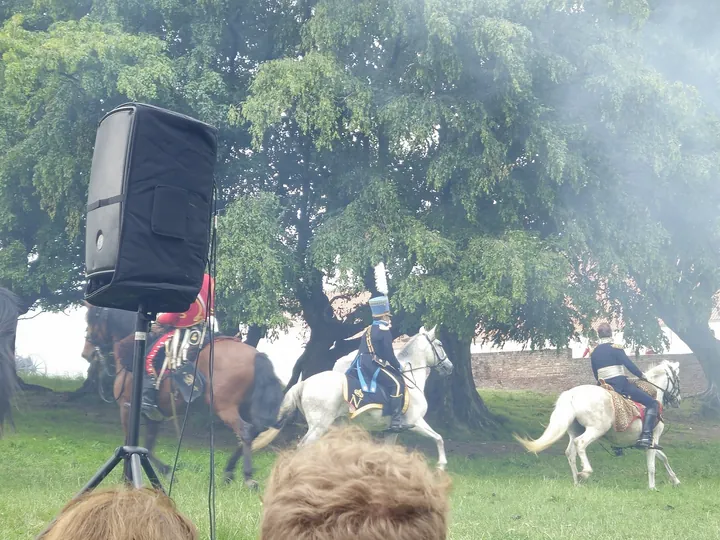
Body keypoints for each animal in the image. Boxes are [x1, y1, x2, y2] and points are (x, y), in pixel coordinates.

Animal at [81, 304, 284, 490]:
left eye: (91, 318)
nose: (86, 353)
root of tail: (256, 354)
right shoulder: (154, 416)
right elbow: (147, 446)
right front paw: (162, 472)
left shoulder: (126, 408)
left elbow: (129, 444)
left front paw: (133, 477)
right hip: (244, 406)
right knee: (254, 432)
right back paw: (229, 472)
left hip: (224, 406)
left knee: (245, 431)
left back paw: (247, 476)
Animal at [253, 326, 452, 470]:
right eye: (440, 344)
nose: (449, 367)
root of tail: (305, 382)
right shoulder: (416, 422)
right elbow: (439, 438)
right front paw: (441, 465)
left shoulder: (393, 431)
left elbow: (389, 452)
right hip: (319, 426)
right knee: (304, 447)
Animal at [516, 360, 680, 492]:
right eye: (677, 379)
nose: (677, 400)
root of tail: (571, 394)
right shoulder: (653, 439)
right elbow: (652, 465)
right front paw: (652, 487)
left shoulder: (644, 443)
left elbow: (663, 457)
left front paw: (675, 480)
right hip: (596, 429)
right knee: (580, 443)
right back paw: (585, 472)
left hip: (575, 431)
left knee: (570, 452)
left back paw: (576, 481)